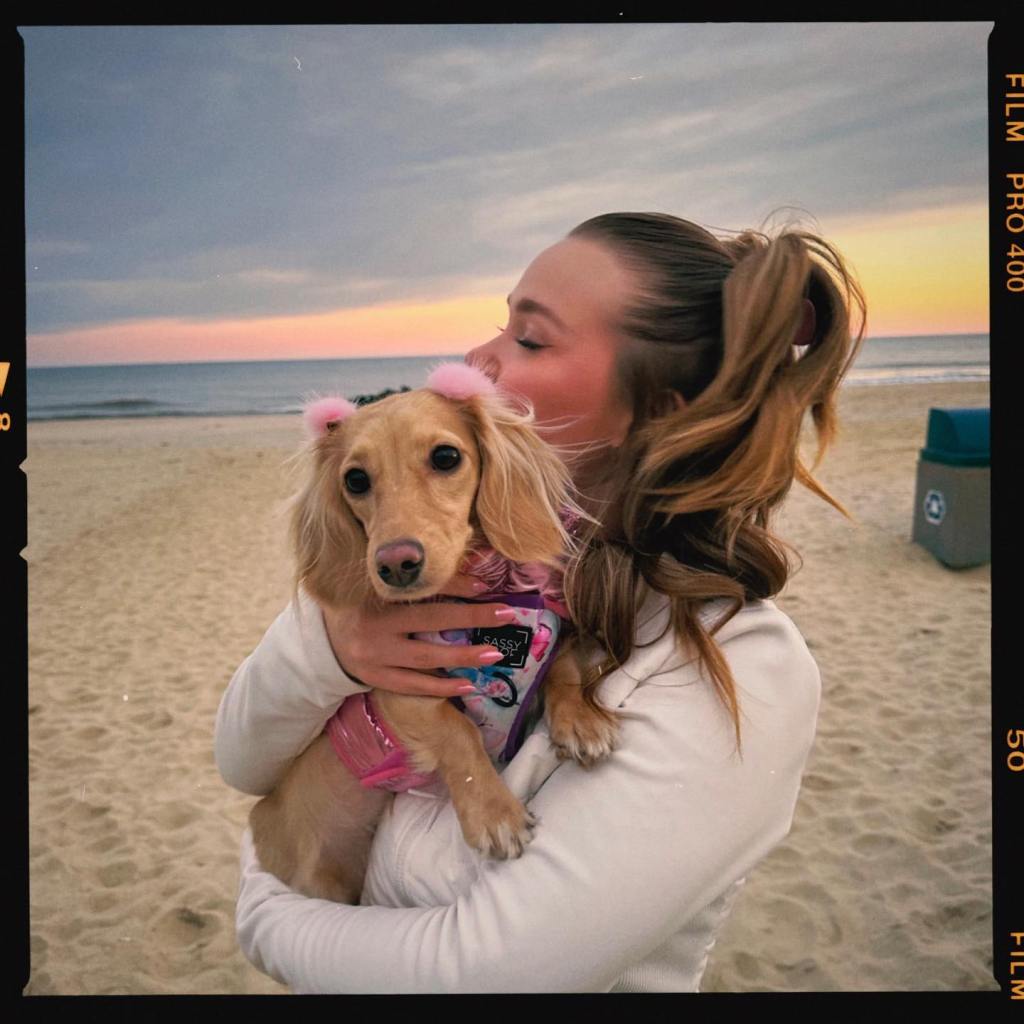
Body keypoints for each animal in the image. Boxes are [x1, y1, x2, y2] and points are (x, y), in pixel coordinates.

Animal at [249, 362, 614, 905]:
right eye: (355, 480)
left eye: (446, 456)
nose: (395, 564)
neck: (489, 597)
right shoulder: (400, 689)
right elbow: (457, 731)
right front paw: (494, 813)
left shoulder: (553, 637)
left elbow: (563, 669)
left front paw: (582, 721)